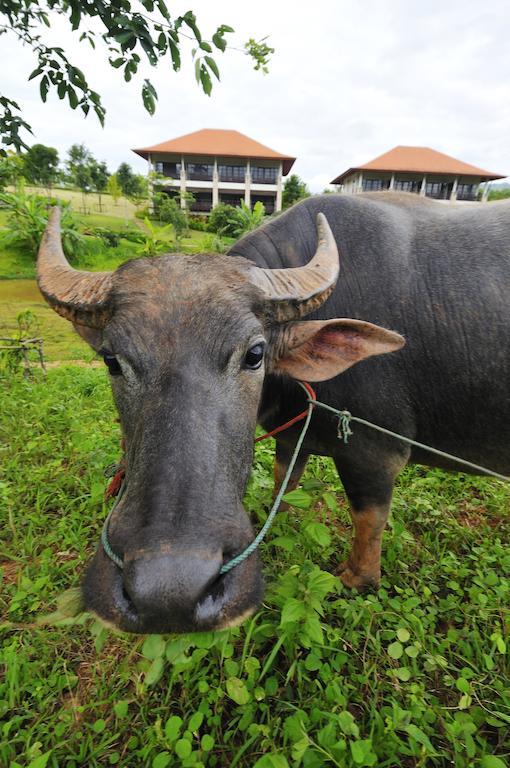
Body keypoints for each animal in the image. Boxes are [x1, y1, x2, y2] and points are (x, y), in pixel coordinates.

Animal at [36, 195, 510, 632]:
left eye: (255, 354)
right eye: (111, 360)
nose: (168, 593)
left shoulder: (375, 453)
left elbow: (368, 520)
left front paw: (356, 579)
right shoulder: (293, 434)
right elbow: (286, 482)